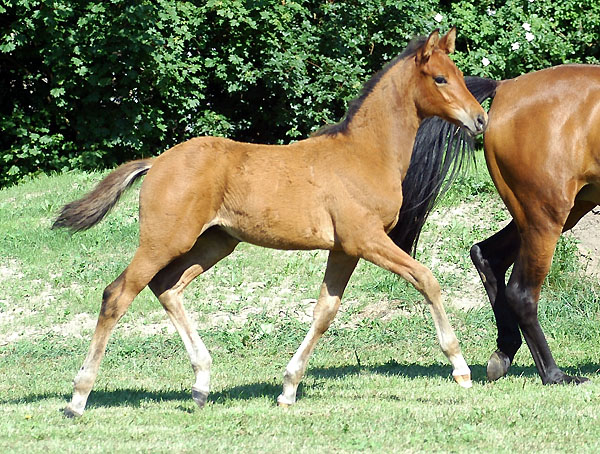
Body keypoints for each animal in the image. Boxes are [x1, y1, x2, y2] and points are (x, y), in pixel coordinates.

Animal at [51, 29, 488, 418]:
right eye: (440, 78)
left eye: (459, 74)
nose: (480, 119)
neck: (365, 153)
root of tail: (157, 162)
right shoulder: (366, 239)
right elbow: (427, 279)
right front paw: (461, 368)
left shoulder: (344, 249)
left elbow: (325, 311)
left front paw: (289, 388)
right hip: (163, 241)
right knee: (117, 295)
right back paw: (78, 398)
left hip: (214, 243)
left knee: (167, 287)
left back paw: (201, 385)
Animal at [452, 66, 596, 384]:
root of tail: (506, 87)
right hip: (546, 216)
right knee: (521, 293)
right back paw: (554, 374)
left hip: (552, 213)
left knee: (487, 255)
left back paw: (504, 351)